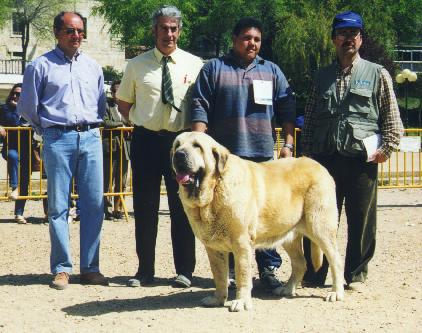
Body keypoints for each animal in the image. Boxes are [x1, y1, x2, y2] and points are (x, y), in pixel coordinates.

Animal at [171, 131, 342, 310]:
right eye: (177, 145)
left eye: (197, 146)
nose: (179, 155)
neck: (213, 191)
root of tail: (319, 165)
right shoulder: (213, 248)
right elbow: (219, 275)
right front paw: (218, 298)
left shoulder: (241, 243)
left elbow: (242, 274)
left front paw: (241, 302)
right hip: (288, 234)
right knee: (300, 263)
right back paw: (287, 289)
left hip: (320, 227)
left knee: (336, 260)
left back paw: (336, 293)